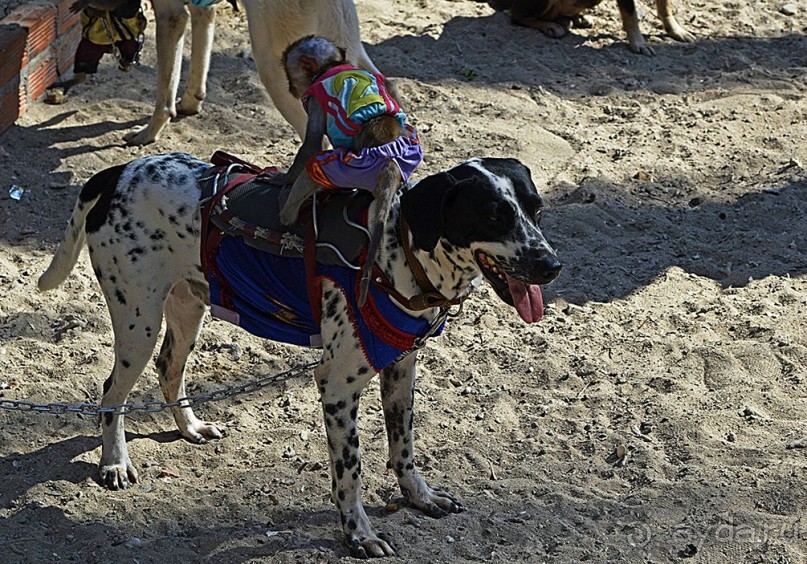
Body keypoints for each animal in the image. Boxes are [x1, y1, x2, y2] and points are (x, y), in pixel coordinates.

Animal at [39, 152, 560, 556]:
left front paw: (419, 497)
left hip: (188, 306)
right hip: (138, 322)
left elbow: (404, 448)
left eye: (537, 210)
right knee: (112, 393)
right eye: (492, 215)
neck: (397, 255)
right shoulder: (338, 385)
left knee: (170, 369)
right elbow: (351, 473)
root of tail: (117, 172)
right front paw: (358, 535)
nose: (551, 265)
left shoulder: (400, 369)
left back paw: (190, 427)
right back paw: (114, 463)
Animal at [276, 34, 426, 308]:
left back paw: (287, 211)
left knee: (317, 165)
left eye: (291, 78)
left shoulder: (316, 102)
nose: (291, 89)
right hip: (410, 149)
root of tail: (389, 159)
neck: (333, 66)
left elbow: (312, 144)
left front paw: (281, 178)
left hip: (351, 166)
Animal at [480, 0, 696, 54]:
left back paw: (579, 18)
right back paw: (550, 26)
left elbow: (665, 5)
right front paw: (639, 44)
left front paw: (676, 30)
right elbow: (630, 13)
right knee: (516, 15)